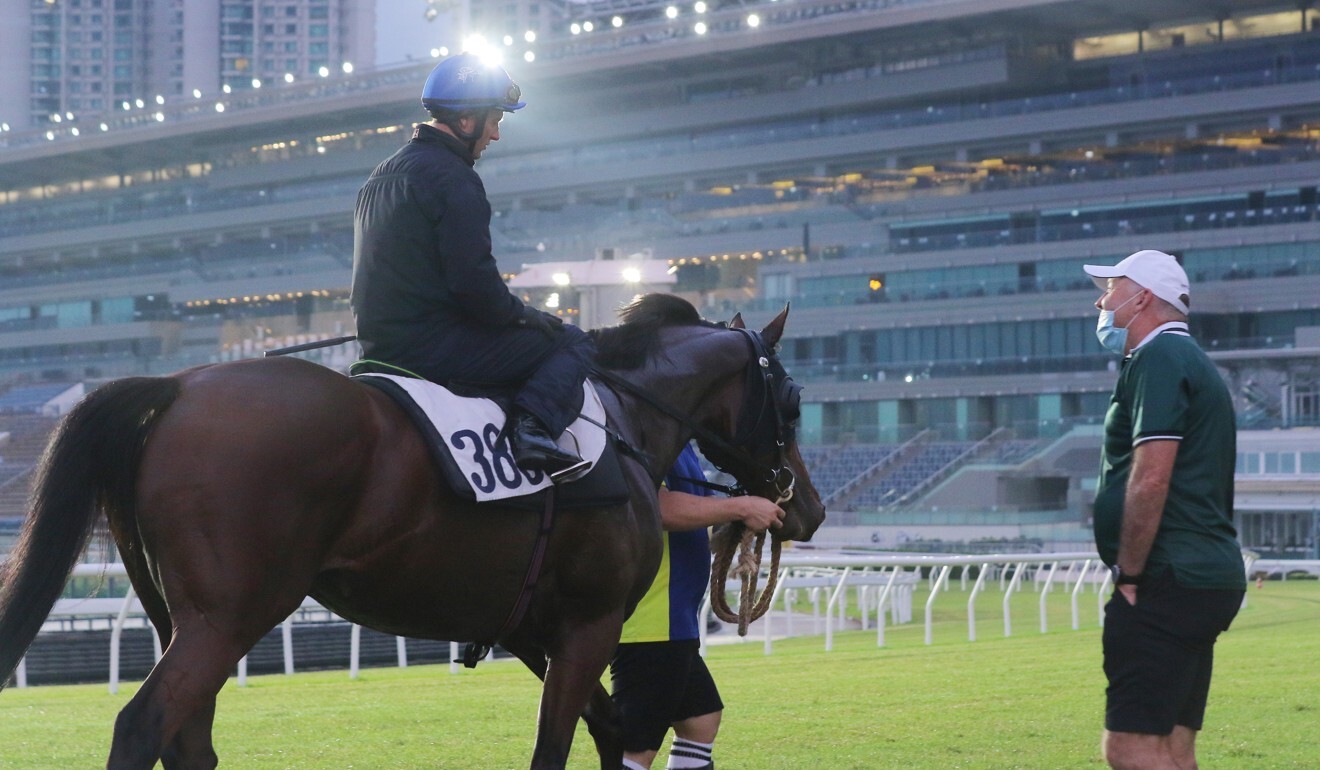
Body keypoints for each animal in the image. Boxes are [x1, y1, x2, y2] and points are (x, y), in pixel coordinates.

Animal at [0, 295, 823, 770]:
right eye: (792, 401)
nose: (806, 508)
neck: (618, 426)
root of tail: (176, 387)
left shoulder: (532, 630)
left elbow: (611, 729)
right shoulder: (589, 626)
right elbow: (559, 745)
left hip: (184, 615)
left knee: (188, 739)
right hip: (229, 615)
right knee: (144, 728)